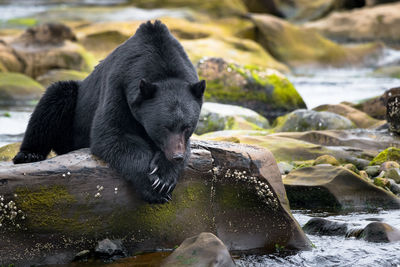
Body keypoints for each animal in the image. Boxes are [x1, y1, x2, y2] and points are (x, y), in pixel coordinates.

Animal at [13, 21, 205, 204]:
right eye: (164, 127)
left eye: (187, 127)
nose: (177, 156)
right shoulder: (118, 85)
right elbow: (112, 134)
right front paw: (152, 187)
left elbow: (186, 146)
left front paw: (164, 176)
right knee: (53, 100)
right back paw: (29, 154)